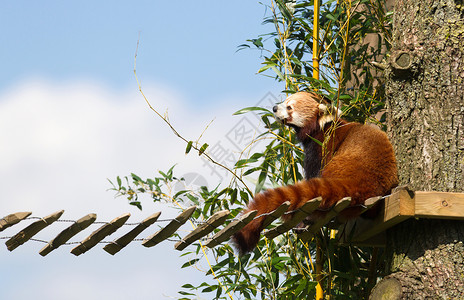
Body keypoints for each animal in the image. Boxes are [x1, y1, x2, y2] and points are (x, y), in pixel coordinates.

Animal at [232, 91, 398, 253]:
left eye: (289, 107)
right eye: (284, 101)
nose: (274, 108)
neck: (322, 128)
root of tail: (363, 181)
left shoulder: (321, 147)